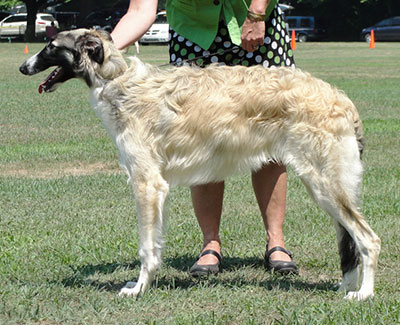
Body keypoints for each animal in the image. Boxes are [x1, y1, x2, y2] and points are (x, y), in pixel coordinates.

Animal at [19, 29, 382, 300]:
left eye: (51, 47)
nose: (23, 67)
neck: (117, 79)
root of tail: (343, 99)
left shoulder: (146, 183)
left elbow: (146, 248)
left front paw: (138, 289)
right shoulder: (157, 187)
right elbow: (155, 245)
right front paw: (144, 283)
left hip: (324, 184)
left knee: (368, 240)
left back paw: (363, 294)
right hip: (328, 185)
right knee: (350, 241)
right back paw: (345, 286)